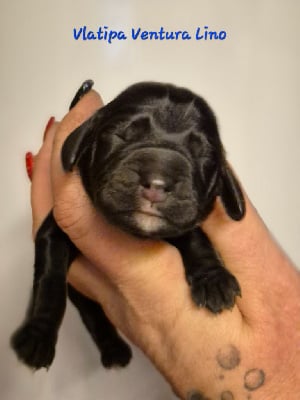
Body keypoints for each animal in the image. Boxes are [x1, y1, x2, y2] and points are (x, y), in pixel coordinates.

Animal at [11, 82, 245, 372]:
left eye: (204, 155)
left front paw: (213, 279)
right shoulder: (54, 231)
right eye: (122, 134)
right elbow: (50, 281)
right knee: (92, 312)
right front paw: (38, 336)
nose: (157, 183)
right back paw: (111, 347)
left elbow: (195, 237)